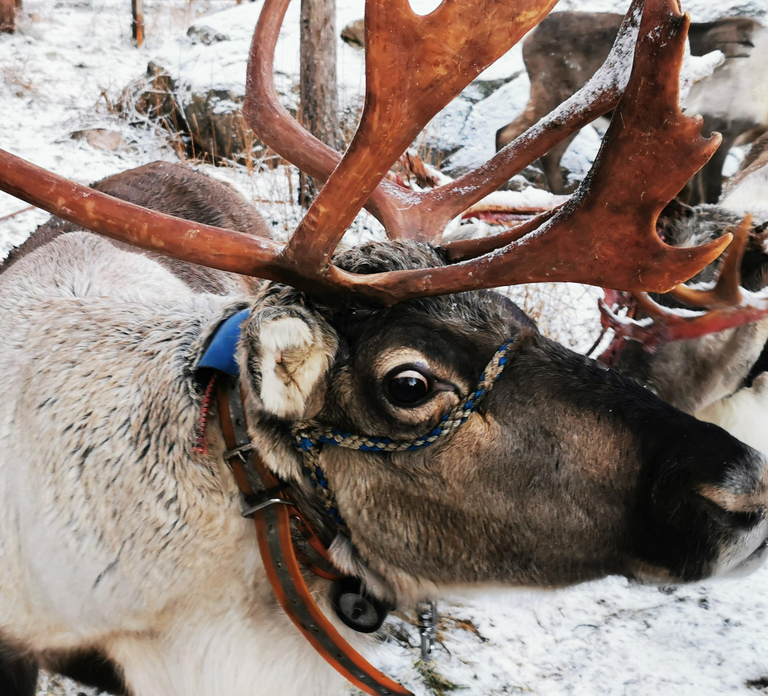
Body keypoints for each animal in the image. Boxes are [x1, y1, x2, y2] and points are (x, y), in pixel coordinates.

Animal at [494, 11, 768, 202]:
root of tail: (530, 37)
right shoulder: (719, 128)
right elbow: (708, 194)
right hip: (553, 96)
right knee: (506, 134)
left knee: (549, 155)